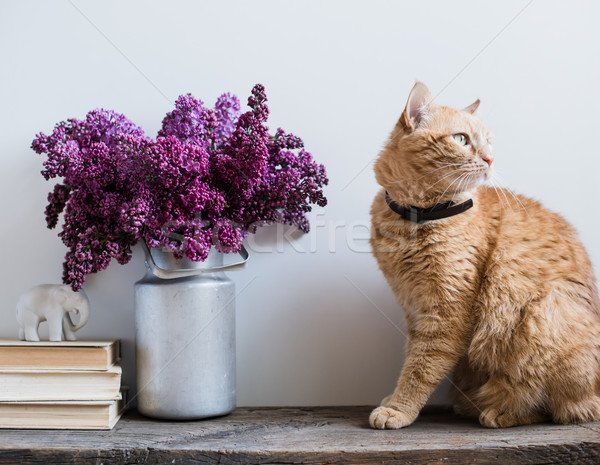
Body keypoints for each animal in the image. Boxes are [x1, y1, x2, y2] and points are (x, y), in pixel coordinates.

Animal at [370, 82, 600, 428]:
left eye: (489, 141)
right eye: (461, 139)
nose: (490, 158)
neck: (417, 217)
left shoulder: (447, 313)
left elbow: (421, 367)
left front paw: (399, 408)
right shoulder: (412, 306)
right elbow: (411, 354)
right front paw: (393, 399)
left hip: (543, 316)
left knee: (563, 406)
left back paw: (500, 411)